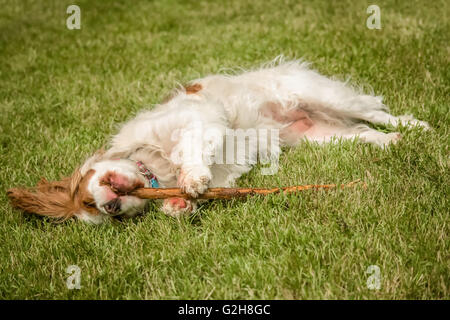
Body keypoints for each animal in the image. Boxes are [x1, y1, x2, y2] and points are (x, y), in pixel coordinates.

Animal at [7, 58, 428, 224]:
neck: (153, 167)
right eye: (103, 214)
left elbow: (190, 150)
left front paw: (190, 178)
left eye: (85, 193)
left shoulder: (199, 119)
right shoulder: (225, 170)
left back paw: (416, 126)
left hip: (325, 95)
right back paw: (392, 142)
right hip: (321, 137)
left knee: (376, 112)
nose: (108, 204)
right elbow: (201, 191)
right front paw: (179, 204)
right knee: (366, 133)